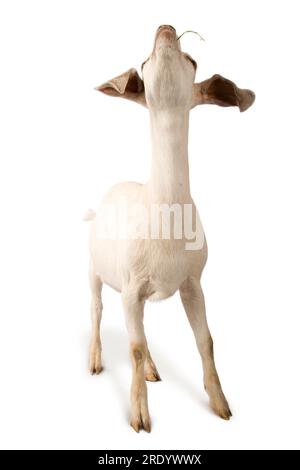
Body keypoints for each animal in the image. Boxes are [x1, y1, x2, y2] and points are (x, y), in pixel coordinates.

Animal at [87, 23, 255, 432]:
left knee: (139, 332)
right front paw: (139, 418)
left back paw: (152, 370)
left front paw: (222, 406)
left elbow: (205, 340)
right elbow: (133, 347)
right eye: (145, 60)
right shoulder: (132, 286)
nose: (165, 29)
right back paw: (95, 362)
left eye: (192, 60)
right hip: (93, 269)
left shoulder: (192, 282)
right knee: (98, 310)